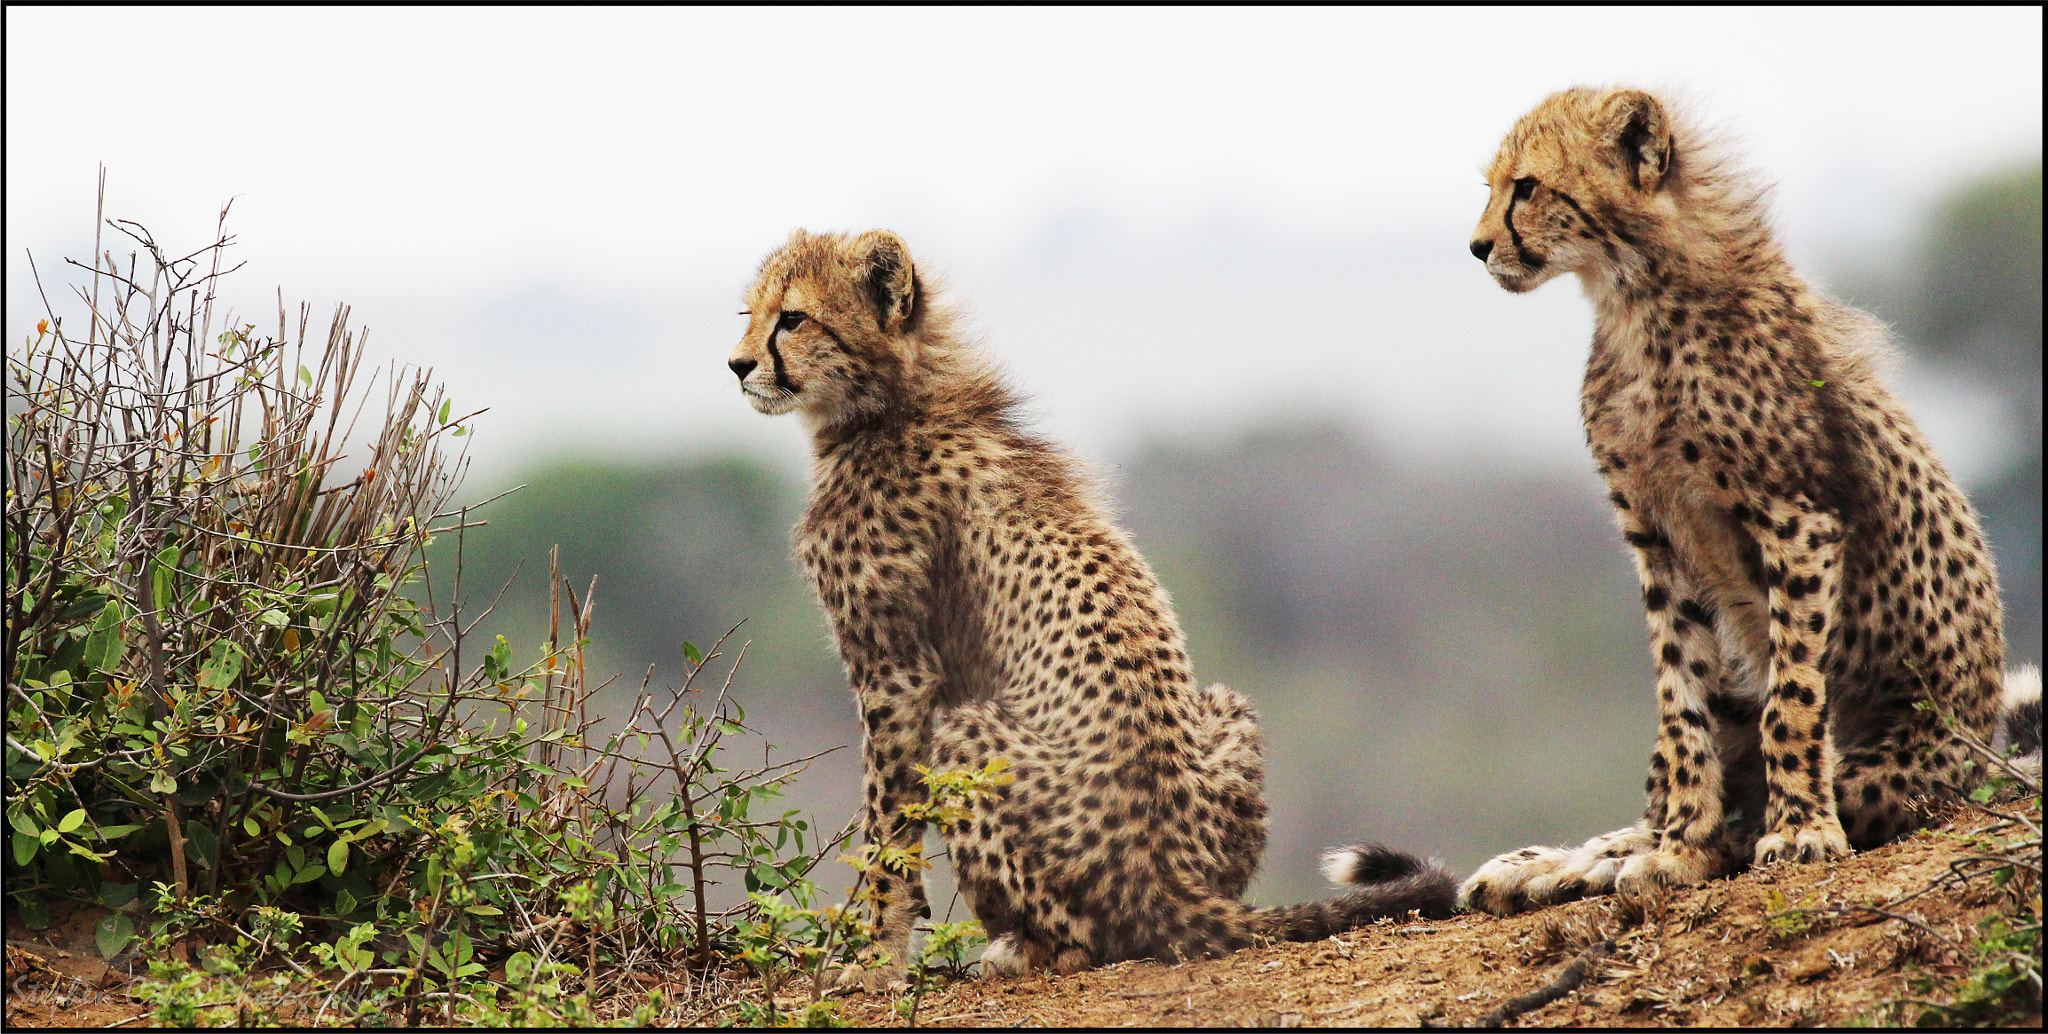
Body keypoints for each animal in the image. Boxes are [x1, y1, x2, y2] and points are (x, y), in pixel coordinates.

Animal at [725, 228, 1455, 983]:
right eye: (749, 313)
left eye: (793, 318)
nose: (737, 365)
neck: (894, 402)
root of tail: (1170, 879)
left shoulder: (896, 674)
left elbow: (887, 828)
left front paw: (873, 959)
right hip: (1226, 707)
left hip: (967, 732)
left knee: (1084, 943)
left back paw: (1018, 949)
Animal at [1459, 86, 2039, 915]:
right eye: (1495, 186)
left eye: (1528, 187)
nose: (1478, 248)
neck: (1635, 294)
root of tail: (1977, 752)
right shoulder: (1656, 537)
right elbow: (1682, 702)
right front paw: (1678, 847)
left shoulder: (1794, 519)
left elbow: (1790, 695)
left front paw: (1794, 832)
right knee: (1648, 807)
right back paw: (1549, 864)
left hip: (1895, 771)